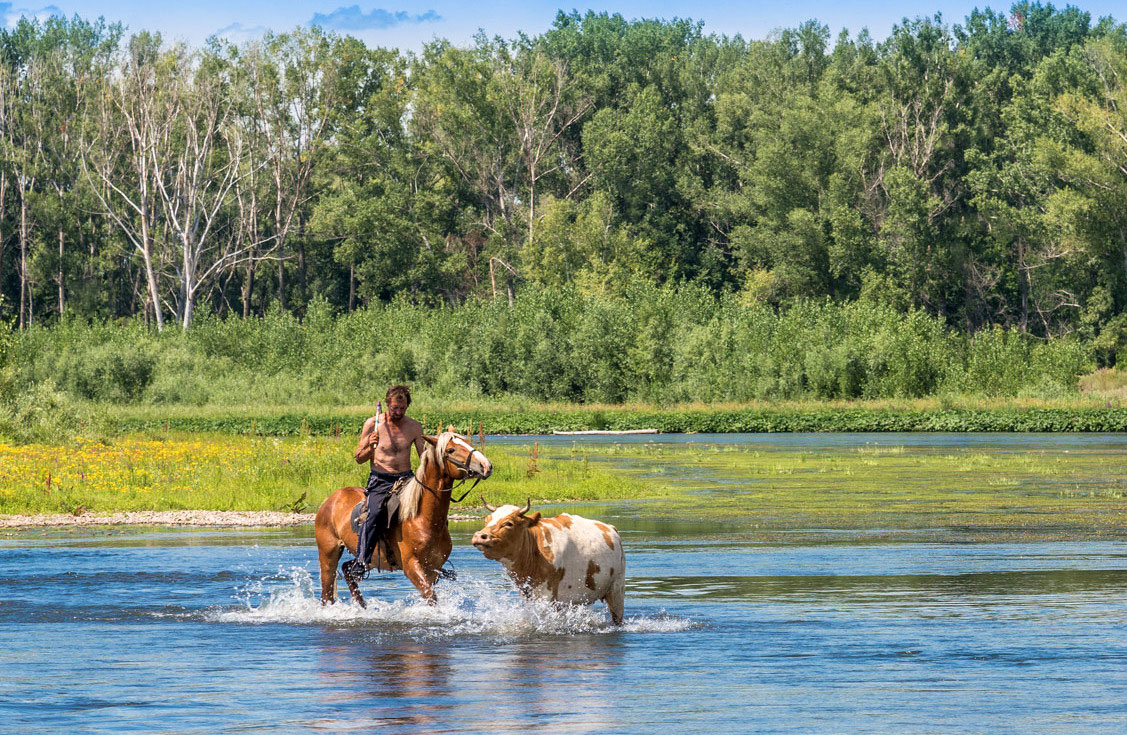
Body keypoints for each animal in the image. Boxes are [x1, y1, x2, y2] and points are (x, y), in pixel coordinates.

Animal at [317, 428, 493, 604]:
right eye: (451, 450)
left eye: (468, 443)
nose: (486, 466)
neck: (423, 519)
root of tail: (330, 500)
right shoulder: (411, 565)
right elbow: (430, 596)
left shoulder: (433, 568)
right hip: (328, 555)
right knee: (327, 593)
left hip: (366, 560)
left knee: (347, 570)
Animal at [468, 496, 626, 622]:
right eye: (486, 520)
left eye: (509, 523)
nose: (479, 536)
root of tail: (611, 529)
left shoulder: (548, 597)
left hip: (617, 589)